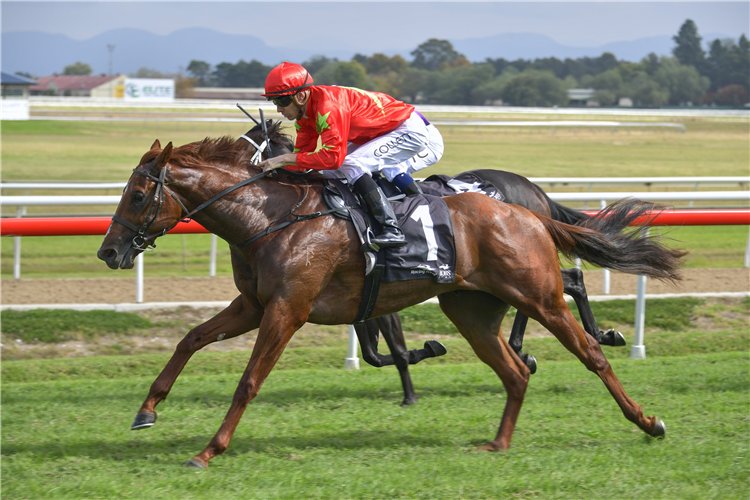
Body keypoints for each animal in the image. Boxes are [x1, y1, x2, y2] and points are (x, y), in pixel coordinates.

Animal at [98, 134, 688, 468]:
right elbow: (190, 339)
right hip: (470, 310)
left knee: (588, 348)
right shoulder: (255, 305)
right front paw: (147, 410)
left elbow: (249, 381)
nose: (108, 251)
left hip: (538, 294)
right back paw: (498, 444)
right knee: (514, 371)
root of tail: (528, 210)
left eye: (137, 194)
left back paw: (646, 419)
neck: (270, 217)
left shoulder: (287, 310)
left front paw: (208, 451)